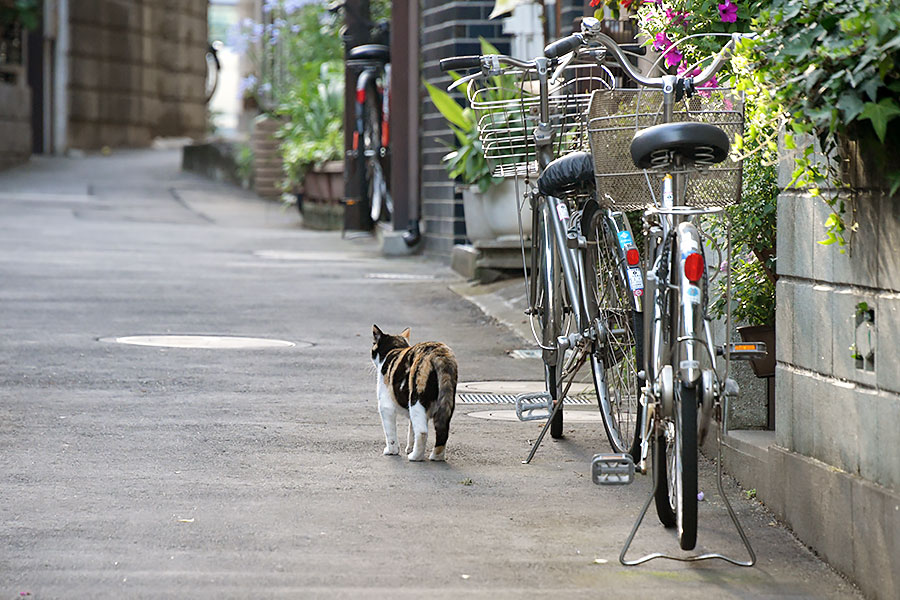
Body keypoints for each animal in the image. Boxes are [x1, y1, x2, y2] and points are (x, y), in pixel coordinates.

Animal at [370, 326, 458, 462]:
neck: (394, 349)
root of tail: (439, 354)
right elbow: (411, 430)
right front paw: (409, 448)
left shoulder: (385, 406)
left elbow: (390, 433)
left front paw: (392, 451)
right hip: (446, 402)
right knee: (442, 430)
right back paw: (436, 456)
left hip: (416, 400)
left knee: (422, 432)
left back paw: (415, 457)